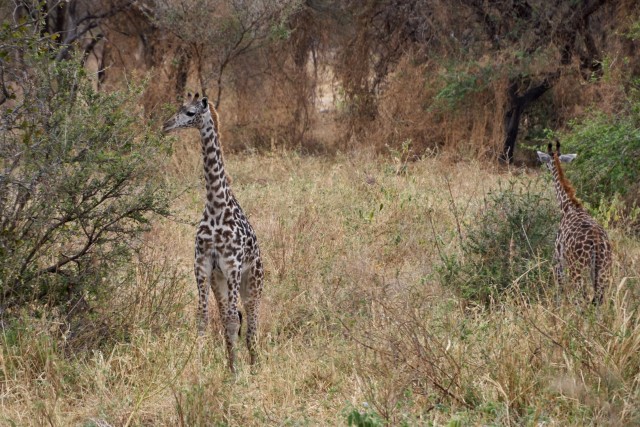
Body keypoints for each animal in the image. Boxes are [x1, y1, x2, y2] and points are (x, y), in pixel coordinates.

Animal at [166, 93, 266, 372]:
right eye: (179, 108)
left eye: (190, 113)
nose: (166, 125)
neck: (216, 206)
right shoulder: (203, 265)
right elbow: (203, 317)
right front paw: (200, 363)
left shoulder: (232, 265)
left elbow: (233, 321)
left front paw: (238, 372)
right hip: (218, 281)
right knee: (227, 317)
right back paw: (233, 363)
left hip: (252, 282)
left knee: (251, 324)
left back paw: (254, 366)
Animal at [536, 142, 612, 306]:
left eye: (546, 162)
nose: (543, 167)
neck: (568, 206)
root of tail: (597, 243)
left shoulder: (558, 260)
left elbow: (559, 291)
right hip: (603, 271)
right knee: (598, 301)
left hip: (577, 269)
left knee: (581, 300)